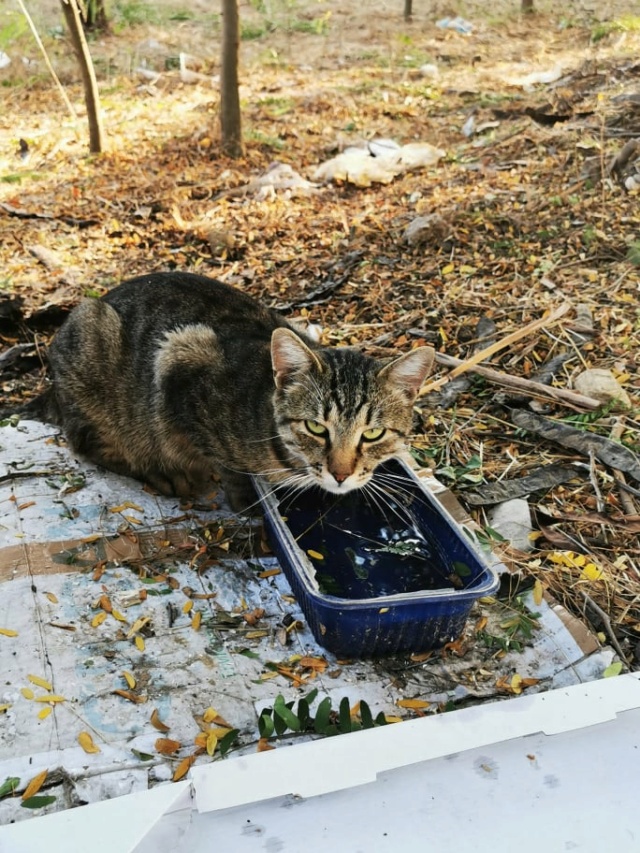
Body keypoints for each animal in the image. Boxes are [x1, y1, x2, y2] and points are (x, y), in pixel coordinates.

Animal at [25, 274, 436, 512]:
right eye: (316, 428)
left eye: (373, 433)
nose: (340, 475)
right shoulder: (179, 361)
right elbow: (231, 469)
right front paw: (246, 502)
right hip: (93, 350)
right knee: (89, 444)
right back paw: (161, 473)